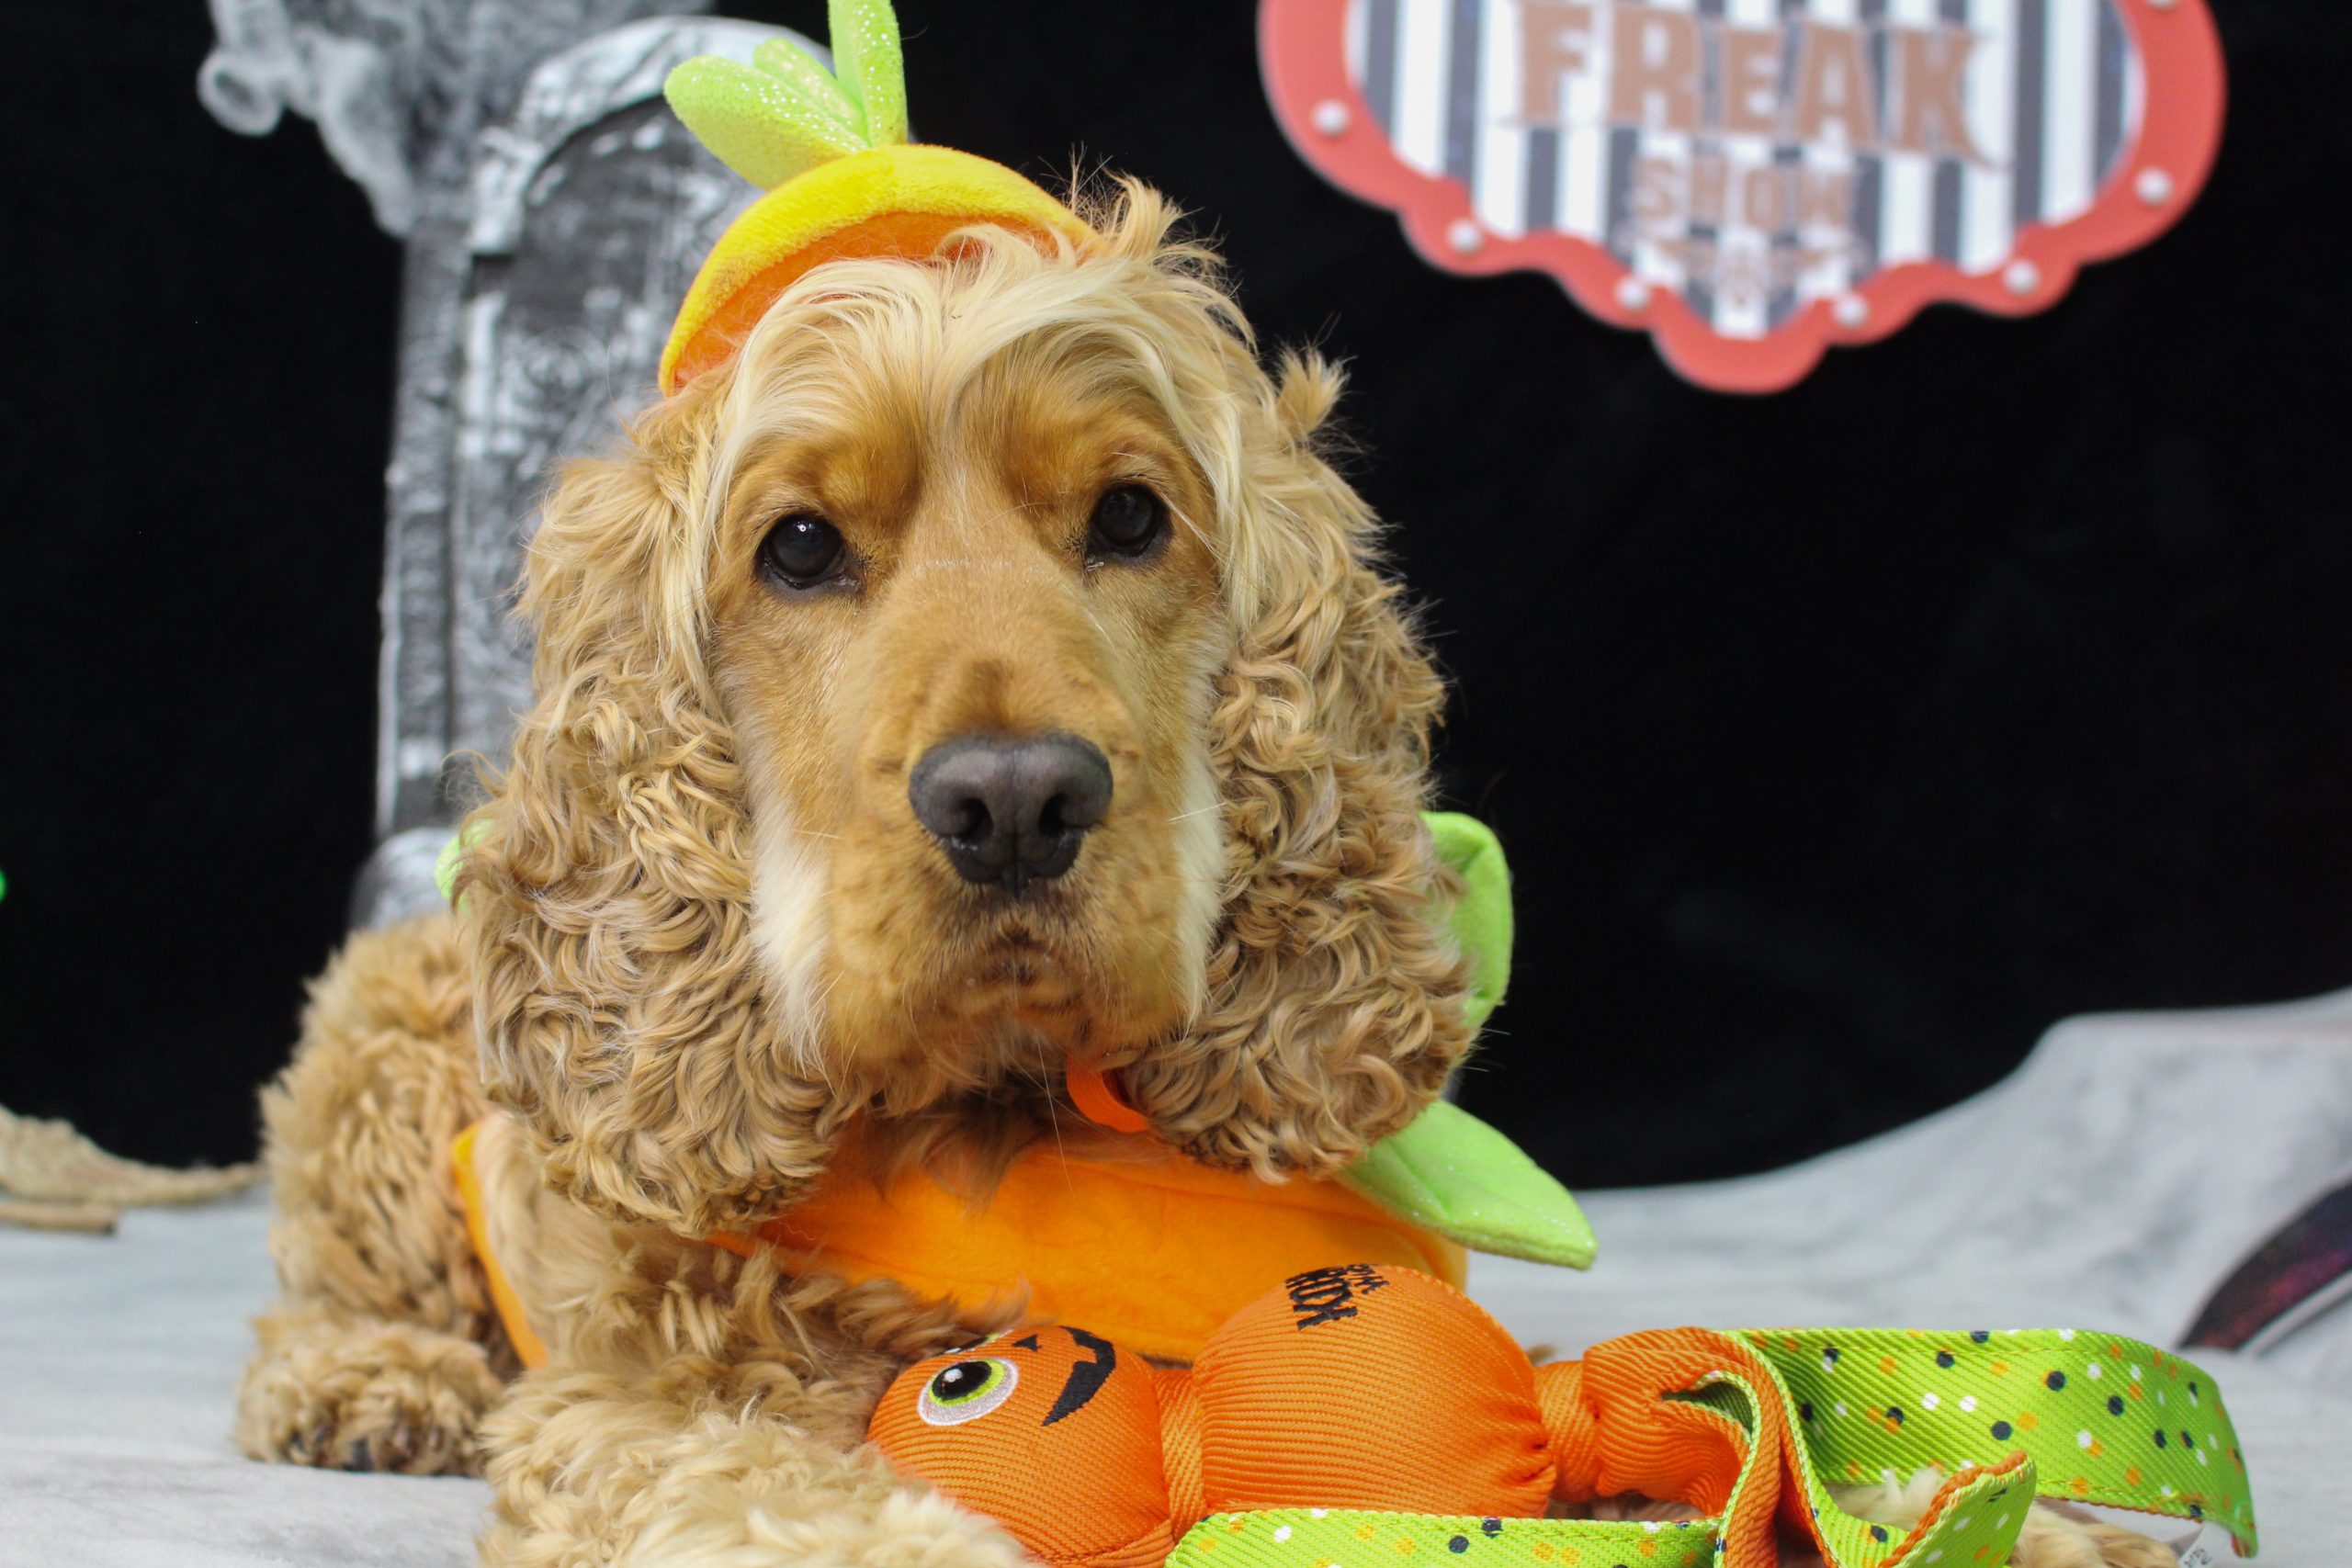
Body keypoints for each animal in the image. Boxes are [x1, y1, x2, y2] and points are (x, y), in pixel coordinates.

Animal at [234, 183, 2175, 1568]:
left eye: (1129, 518)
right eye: (796, 547)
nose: (1016, 800)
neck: (1013, 1107)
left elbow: (1655, 1422)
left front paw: (2003, 1521)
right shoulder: (642, 1404)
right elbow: (776, 1494)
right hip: (379, 1041)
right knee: (339, 1273)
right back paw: (364, 1378)